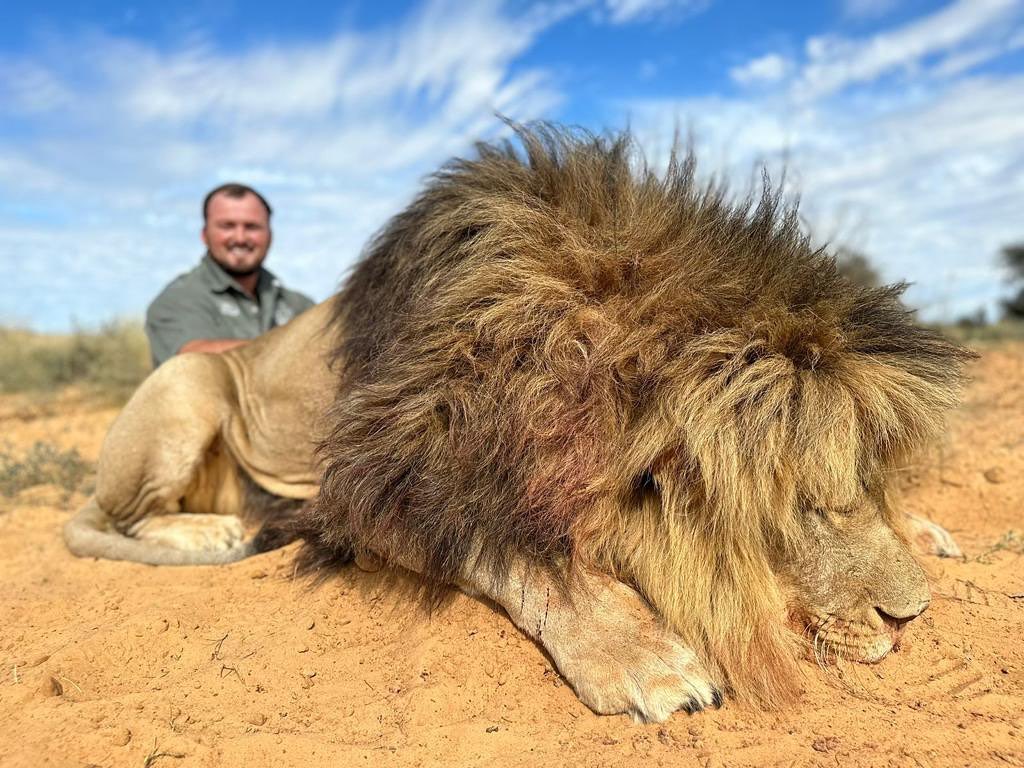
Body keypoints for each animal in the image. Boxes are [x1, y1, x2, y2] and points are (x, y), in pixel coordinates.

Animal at [65, 125, 971, 722]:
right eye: (800, 504)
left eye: (866, 481)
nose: (912, 620)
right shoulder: (372, 488)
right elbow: (517, 556)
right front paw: (645, 660)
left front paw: (925, 527)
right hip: (188, 383)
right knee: (109, 518)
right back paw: (210, 531)